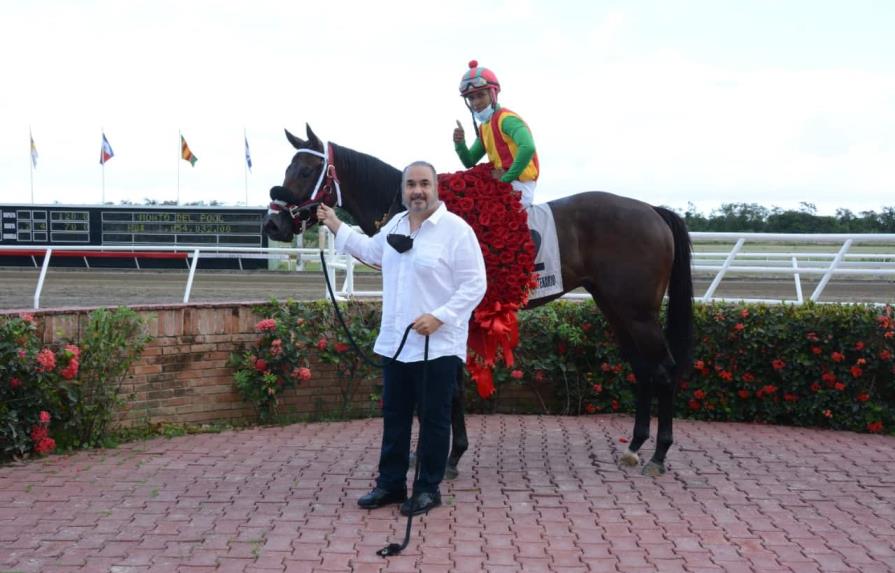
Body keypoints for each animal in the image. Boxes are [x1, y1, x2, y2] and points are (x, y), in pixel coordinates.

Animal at [262, 127, 696, 476]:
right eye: (287, 168)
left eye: (305, 171)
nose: (273, 223)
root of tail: (652, 211)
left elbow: (448, 386)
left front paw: (449, 457)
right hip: (616, 309)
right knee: (642, 369)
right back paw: (636, 446)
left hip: (637, 314)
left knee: (663, 370)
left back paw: (659, 455)